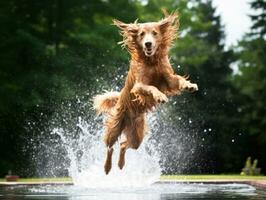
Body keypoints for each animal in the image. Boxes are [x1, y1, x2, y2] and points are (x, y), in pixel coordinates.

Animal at [93, 11, 197, 174]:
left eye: (154, 33)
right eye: (141, 34)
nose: (148, 44)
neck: (151, 61)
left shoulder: (169, 78)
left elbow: (179, 79)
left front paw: (189, 85)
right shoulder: (138, 85)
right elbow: (151, 88)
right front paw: (160, 96)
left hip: (137, 135)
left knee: (124, 145)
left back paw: (121, 164)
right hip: (115, 126)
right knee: (110, 147)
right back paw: (107, 167)